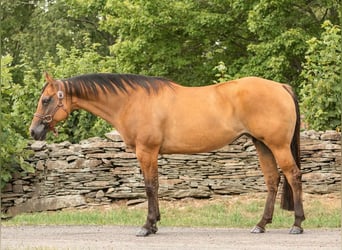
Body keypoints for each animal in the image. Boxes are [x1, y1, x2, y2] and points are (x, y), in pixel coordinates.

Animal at [30, 73, 304, 236]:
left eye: (46, 100)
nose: (34, 131)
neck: (131, 101)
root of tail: (281, 87)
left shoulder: (146, 151)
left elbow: (150, 186)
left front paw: (147, 226)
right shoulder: (151, 154)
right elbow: (156, 185)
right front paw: (155, 222)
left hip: (278, 145)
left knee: (293, 176)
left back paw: (297, 224)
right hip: (262, 144)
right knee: (272, 180)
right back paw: (261, 224)